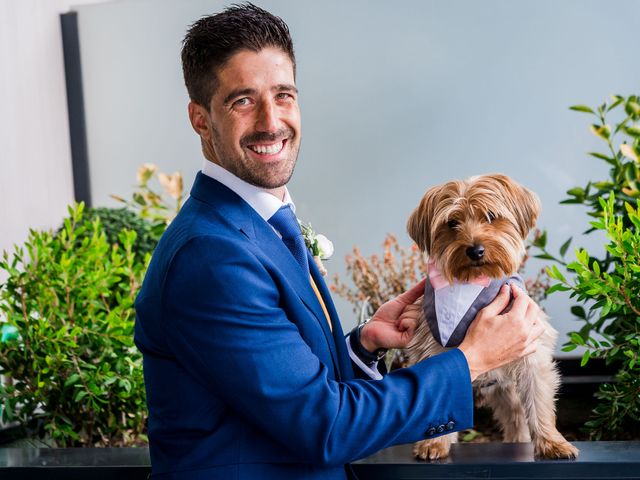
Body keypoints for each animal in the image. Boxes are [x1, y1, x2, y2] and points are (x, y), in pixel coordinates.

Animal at [404, 173, 580, 462]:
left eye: (490, 216)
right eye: (452, 223)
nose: (475, 250)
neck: (474, 286)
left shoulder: (530, 350)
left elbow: (539, 401)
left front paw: (552, 443)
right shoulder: (432, 350)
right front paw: (434, 443)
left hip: (506, 391)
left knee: (517, 420)